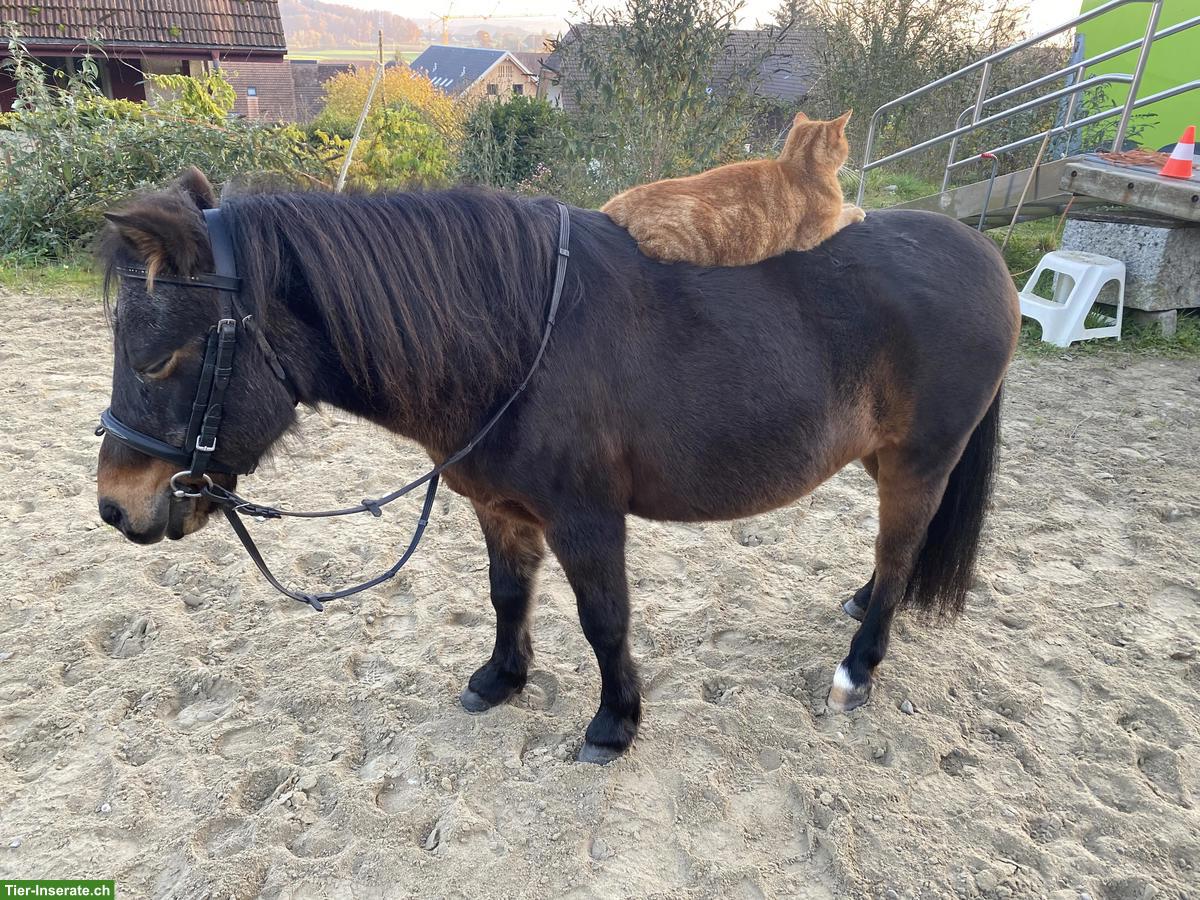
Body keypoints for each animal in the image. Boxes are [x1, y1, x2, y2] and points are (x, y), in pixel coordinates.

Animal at [95, 167, 1019, 764]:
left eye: (156, 360)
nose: (116, 506)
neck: (517, 343)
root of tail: (983, 256)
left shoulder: (587, 520)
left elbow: (604, 620)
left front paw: (614, 723)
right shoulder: (499, 508)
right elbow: (508, 595)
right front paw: (501, 679)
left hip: (919, 461)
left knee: (900, 553)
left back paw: (858, 666)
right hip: (880, 459)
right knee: (891, 559)